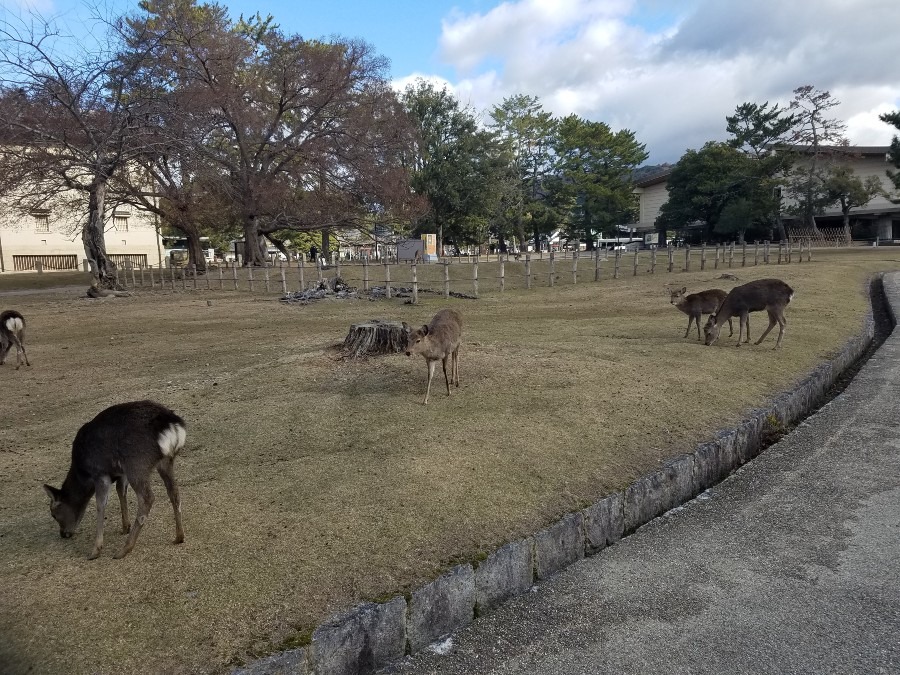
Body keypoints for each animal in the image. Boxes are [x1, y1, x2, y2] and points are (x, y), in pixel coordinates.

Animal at [45, 402, 188, 560]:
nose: (63, 534)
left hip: (137, 464)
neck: (83, 473)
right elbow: (121, 490)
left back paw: (124, 549)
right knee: (174, 491)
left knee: (147, 498)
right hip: (165, 461)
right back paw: (179, 536)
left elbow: (101, 505)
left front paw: (95, 550)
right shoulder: (121, 473)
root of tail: (172, 424)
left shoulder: (100, 473)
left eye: (53, 514)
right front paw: (125, 526)